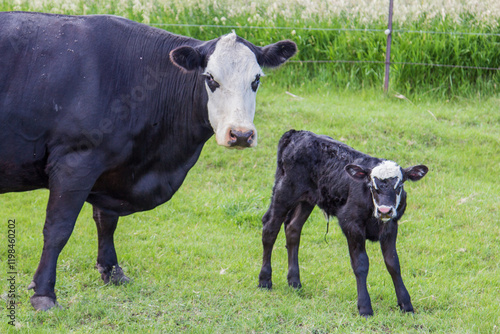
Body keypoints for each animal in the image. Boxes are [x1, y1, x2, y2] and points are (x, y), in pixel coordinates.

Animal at [0, 12, 296, 310]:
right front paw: (44, 293)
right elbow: (58, 229)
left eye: (256, 80)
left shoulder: (110, 168)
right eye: (211, 78)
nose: (241, 134)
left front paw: (113, 272)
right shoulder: (75, 163)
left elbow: (106, 221)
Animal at [260, 130, 428, 316]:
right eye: (372, 186)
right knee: (270, 228)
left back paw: (294, 282)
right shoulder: (351, 224)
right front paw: (365, 307)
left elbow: (393, 263)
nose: (385, 210)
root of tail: (297, 133)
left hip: (307, 200)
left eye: (398, 186)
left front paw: (406, 304)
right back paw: (265, 280)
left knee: (293, 229)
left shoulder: (391, 226)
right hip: (284, 192)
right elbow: (361, 264)